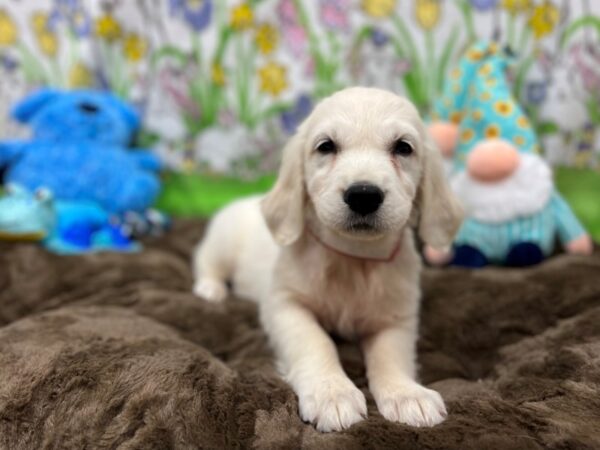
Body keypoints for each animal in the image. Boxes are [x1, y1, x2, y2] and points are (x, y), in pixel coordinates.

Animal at [193, 87, 464, 432]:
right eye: (326, 146)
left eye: (403, 147)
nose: (363, 195)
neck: (353, 257)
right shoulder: (285, 305)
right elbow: (316, 341)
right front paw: (332, 393)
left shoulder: (397, 318)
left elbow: (391, 354)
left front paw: (406, 394)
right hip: (222, 243)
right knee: (205, 262)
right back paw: (210, 290)